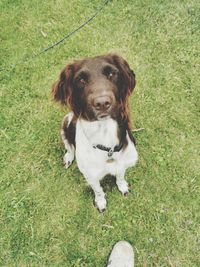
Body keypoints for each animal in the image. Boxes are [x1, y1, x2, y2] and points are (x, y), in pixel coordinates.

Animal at [52, 54, 138, 213]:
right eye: (81, 80)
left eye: (111, 74)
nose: (102, 103)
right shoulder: (91, 175)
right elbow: (98, 190)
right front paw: (100, 202)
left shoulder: (123, 163)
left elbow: (120, 175)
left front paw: (122, 186)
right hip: (65, 123)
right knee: (69, 147)